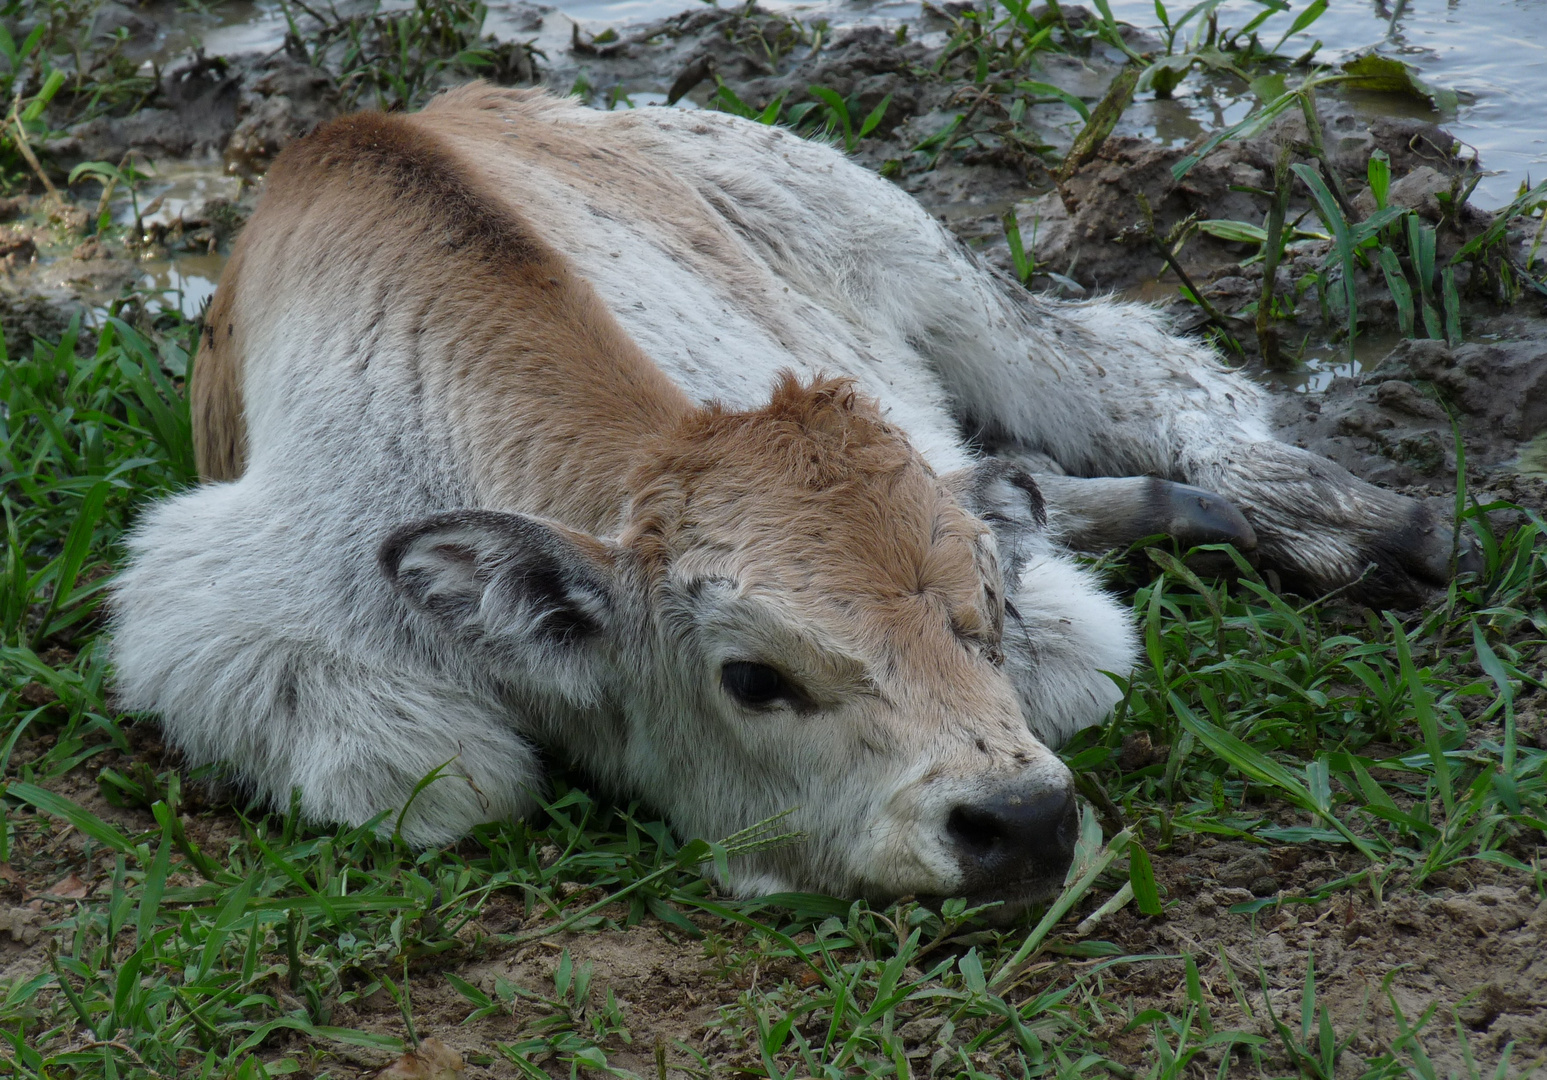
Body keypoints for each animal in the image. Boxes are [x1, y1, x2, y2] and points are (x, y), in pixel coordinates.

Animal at [109, 86, 1460, 909]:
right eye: (752, 678)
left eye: (987, 620)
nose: (1022, 825)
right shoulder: (221, 615)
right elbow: (444, 778)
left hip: (907, 246)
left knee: (1121, 359)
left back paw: (1354, 526)